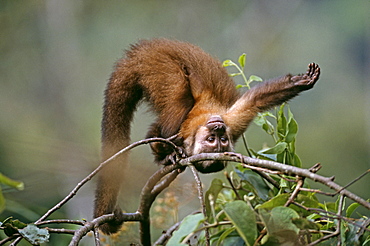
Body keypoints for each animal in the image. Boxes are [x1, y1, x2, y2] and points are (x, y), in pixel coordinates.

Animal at [93, 38, 320, 234]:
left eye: (222, 140)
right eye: (212, 140)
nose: (218, 128)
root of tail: (137, 54)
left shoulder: (232, 125)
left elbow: (255, 101)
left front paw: (300, 82)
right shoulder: (218, 124)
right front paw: (169, 156)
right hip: (155, 64)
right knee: (179, 98)